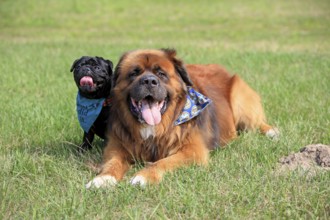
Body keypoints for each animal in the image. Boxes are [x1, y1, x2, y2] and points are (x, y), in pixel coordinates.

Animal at [85, 49, 278, 188]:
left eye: (161, 73)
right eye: (134, 73)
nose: (149, 81)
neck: (155, 128)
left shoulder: (192, 151)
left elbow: (162, 162)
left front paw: (143, 176)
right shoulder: (116, 147)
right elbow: (113, 163)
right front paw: (103, 178)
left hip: (239, 96)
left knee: (256, 123)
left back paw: (271, 131)